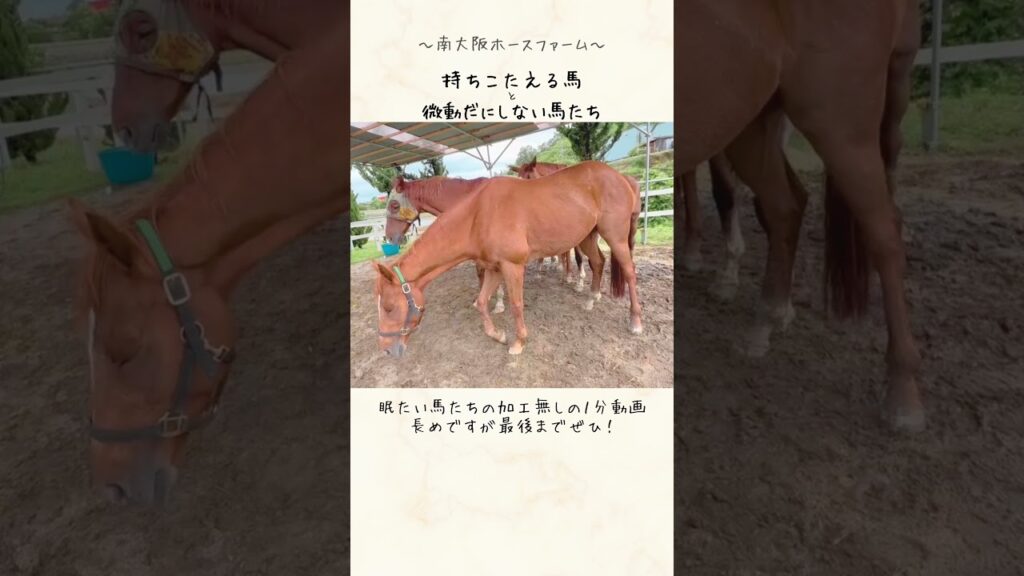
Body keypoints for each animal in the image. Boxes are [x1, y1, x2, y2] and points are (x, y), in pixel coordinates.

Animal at [374, 161, 641, 358]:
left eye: (389, 307)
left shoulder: (512, 267)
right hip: (587, 236)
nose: (387, 350)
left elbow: (516, 304)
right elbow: (482, 302)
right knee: (598, 262)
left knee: (629, 272)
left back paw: (635, 321)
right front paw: (499, 335)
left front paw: (518, 342)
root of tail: (621, 177)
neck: (477, 216)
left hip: (616, 238)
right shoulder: (494, 268)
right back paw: (591, 299)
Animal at [680, 0, 923, 431]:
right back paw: (766, 321)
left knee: (883, 235)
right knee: (784, 208)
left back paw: (903, 395)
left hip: (843, 127)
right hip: (749, 121)